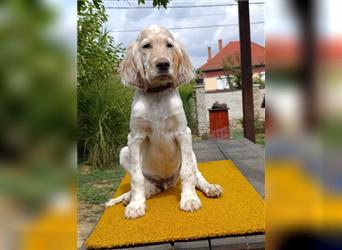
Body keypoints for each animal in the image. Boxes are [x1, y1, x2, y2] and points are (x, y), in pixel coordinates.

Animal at [107, 25, 224, 219]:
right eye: (146, 46)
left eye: (169, 45)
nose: (163, 64)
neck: (157, 95)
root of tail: (167, 184)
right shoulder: (134, 138)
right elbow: (136, 177)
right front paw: (135, 205)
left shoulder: (183, 133)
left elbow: (187, 172)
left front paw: (189, 199)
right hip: (124, 152)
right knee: (148, 185)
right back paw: (129, 197)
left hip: (191, 153)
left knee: (197, 175)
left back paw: (210, 188)